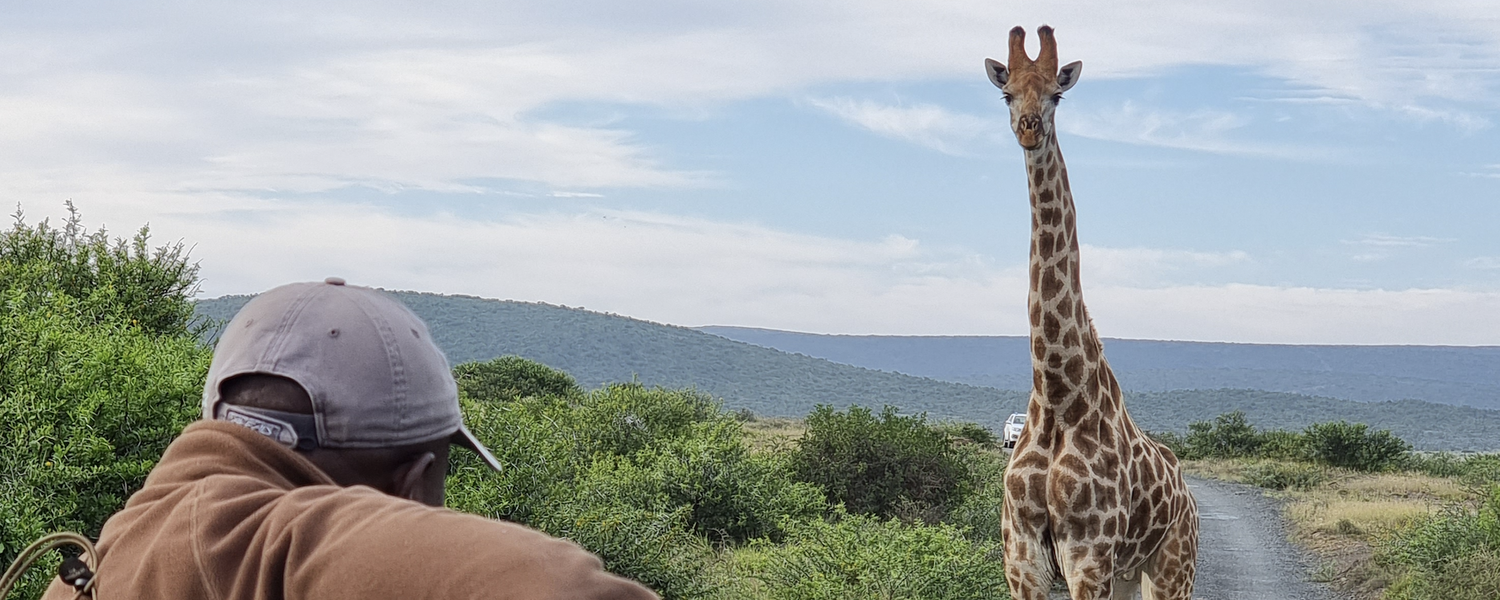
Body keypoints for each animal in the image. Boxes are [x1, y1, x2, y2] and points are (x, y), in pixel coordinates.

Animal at [984, 25, 1194, 597]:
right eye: (1007, 93)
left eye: (1057, 94)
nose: (1029, 129)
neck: (1058, 393)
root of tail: (1188, 492)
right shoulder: (1021, 560)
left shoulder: (1089, 558)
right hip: (1128, 573)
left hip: (1173, 567)